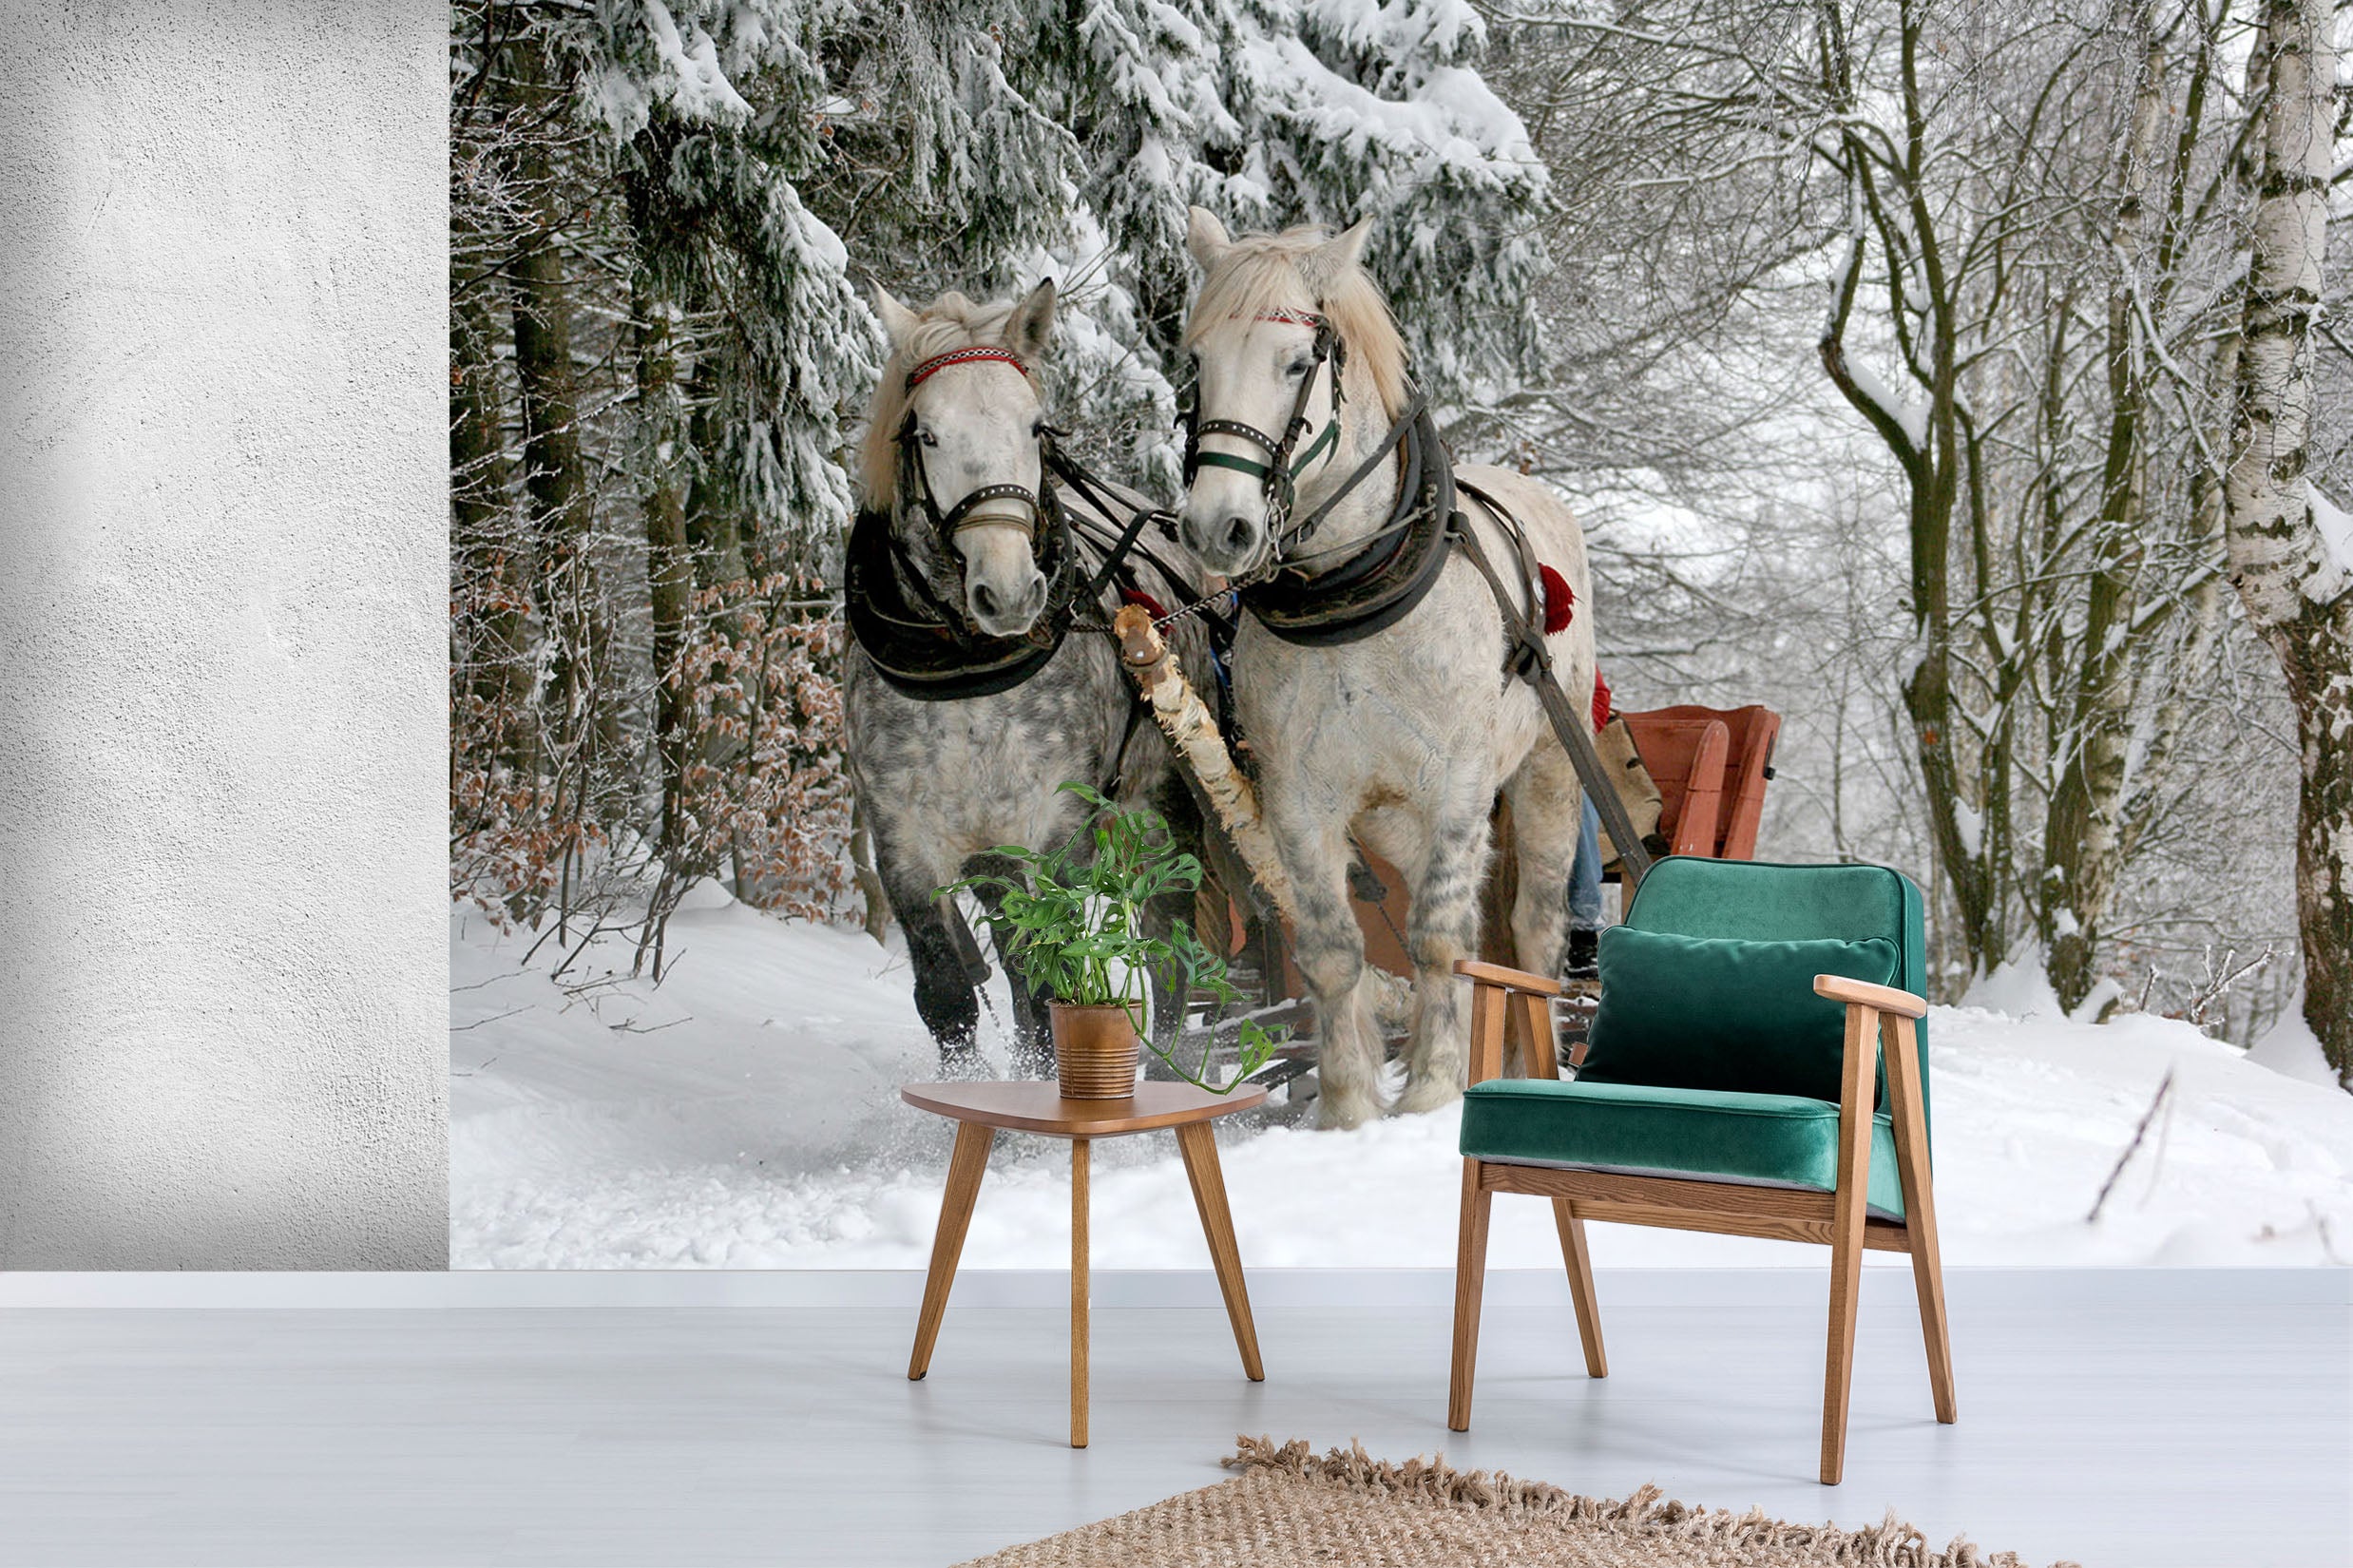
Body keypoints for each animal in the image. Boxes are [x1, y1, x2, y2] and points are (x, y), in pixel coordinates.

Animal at [842, 279, 1215, 1074]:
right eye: (926, 435)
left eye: (1035, 427)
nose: (1010, 592)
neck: (967, 674)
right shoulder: (904, 842)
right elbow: (949, 994)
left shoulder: (1052, 831)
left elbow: (1048, 987)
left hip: (1164, 813)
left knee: (1168, 955)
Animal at [1172, 209, 1596, 1130]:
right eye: (1197, 361)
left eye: (1298, 363)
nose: (1218, 528)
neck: (1353, 597)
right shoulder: (1299, 797)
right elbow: (1335, 950)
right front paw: (1348, 1108)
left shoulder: (1460, 785)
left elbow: (1439, 938)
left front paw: (1433, 1090)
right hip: (1392, 816)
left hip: (1546, 770)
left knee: (1531, 930)